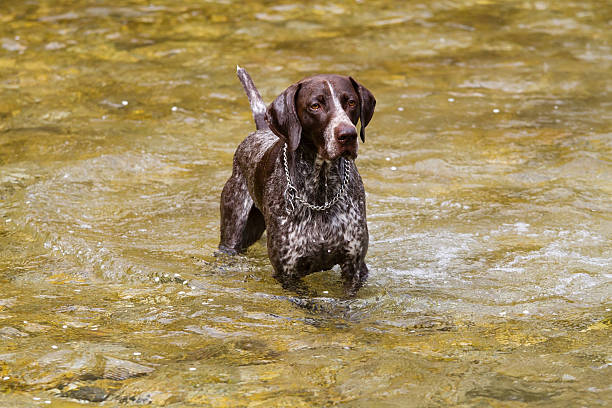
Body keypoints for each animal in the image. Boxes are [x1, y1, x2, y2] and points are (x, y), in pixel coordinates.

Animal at [218, 67, 376, 296]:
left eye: (351, 102)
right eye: (315, 105)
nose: (348, 135)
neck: (321, 189)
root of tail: (260, 131)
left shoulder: (354, 267)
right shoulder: (287, 273)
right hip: (232, 234)